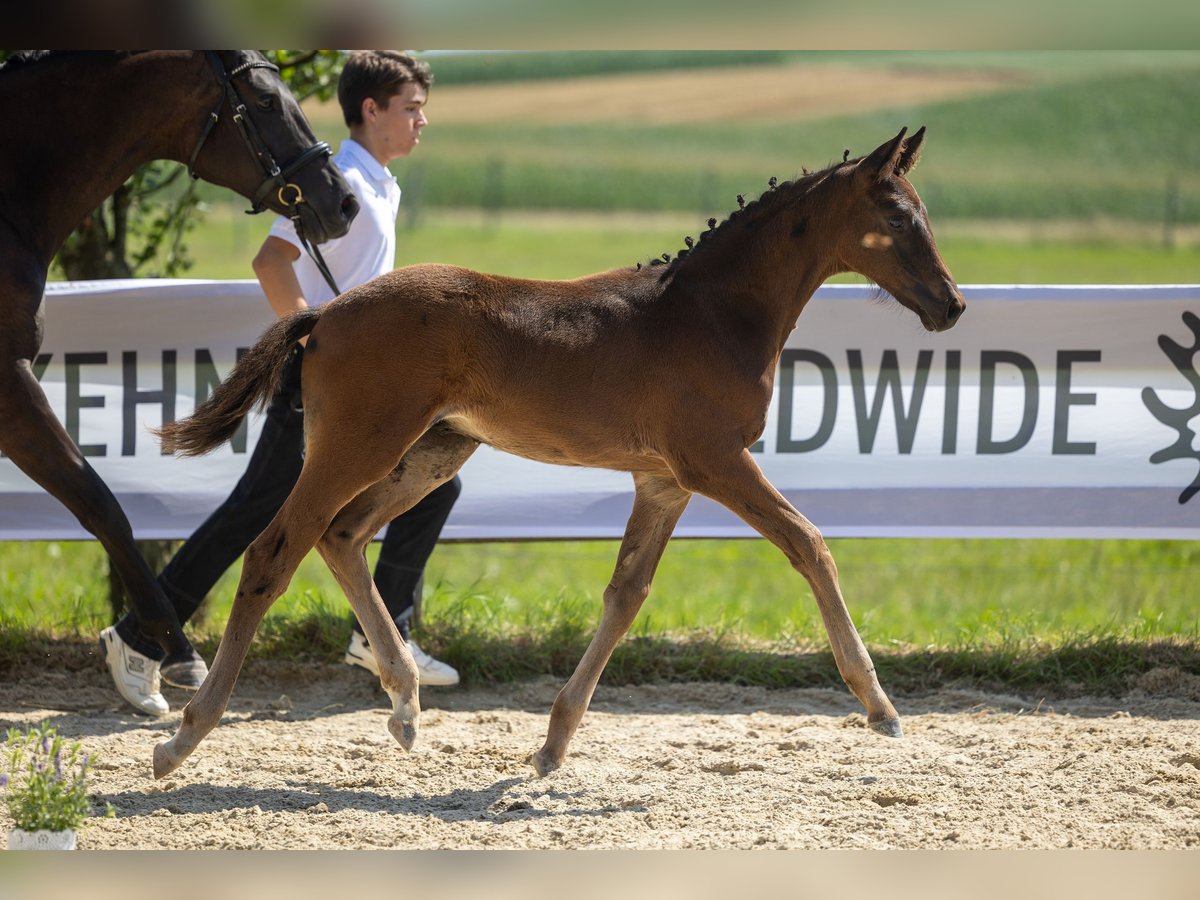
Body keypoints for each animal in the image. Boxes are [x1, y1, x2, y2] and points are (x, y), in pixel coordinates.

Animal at [152, 128, 964, 782]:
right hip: (360, 444)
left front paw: (550, 747)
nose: (951, 304)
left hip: (435, 450)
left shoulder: (662, 481)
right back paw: (183, 737)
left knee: (342, 535)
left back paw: (406, 707)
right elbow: (809, 544)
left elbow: (625, 594)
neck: (710, 315)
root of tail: (322, 314)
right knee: (276, 550)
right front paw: (881, 707)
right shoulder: (714, 461)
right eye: (897, 216)